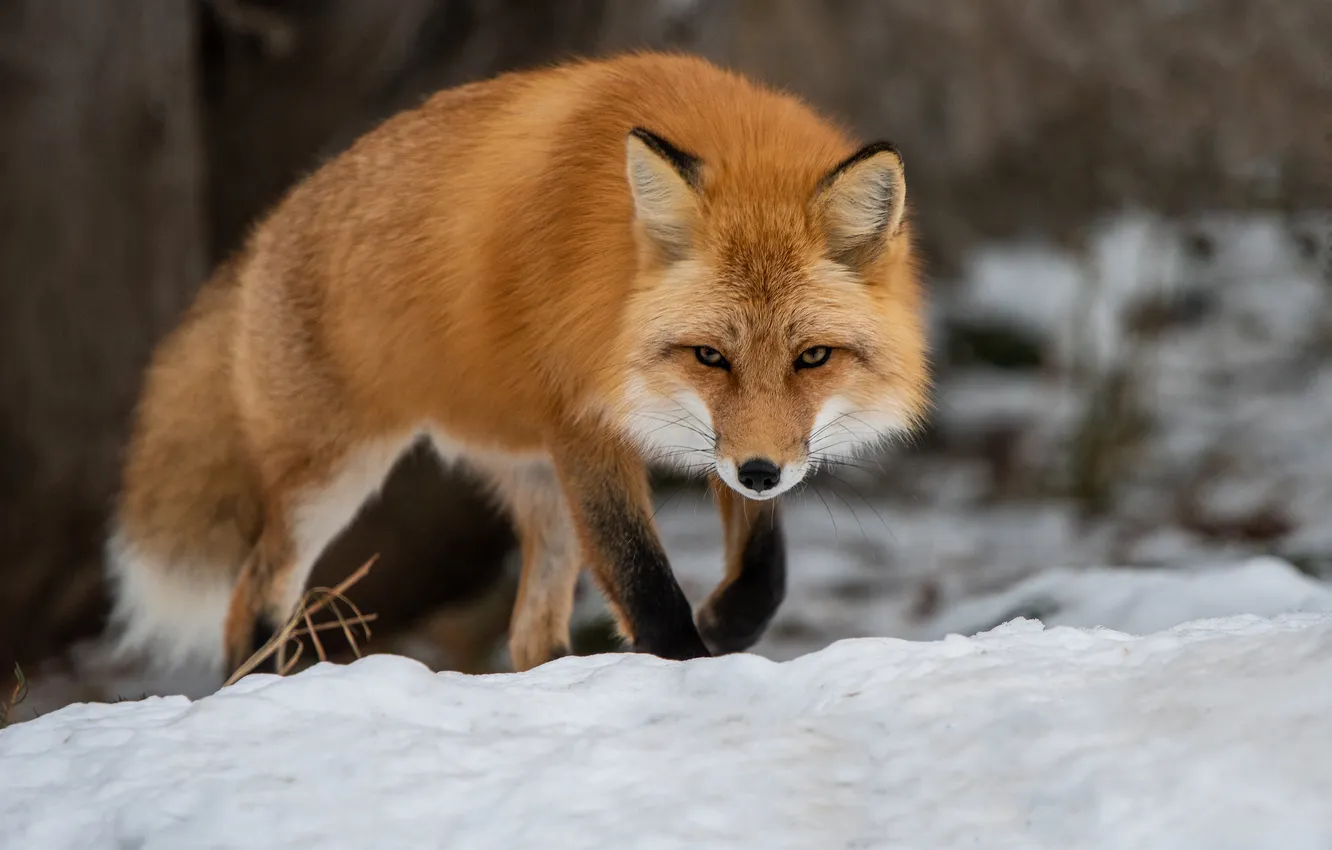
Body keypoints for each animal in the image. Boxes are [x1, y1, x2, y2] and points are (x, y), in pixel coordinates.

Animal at [106, 52, 929, 681]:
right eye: (710, 356)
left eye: (812, 357)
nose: (760, 475)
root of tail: (264, 231)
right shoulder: (591, 424)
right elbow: (645, 583)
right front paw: (688, 667)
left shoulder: (725, 440)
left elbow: (765, 566)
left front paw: (728, 623)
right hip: (331, 474)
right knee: (254, 595)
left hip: (540, 483)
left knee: (531, 634)